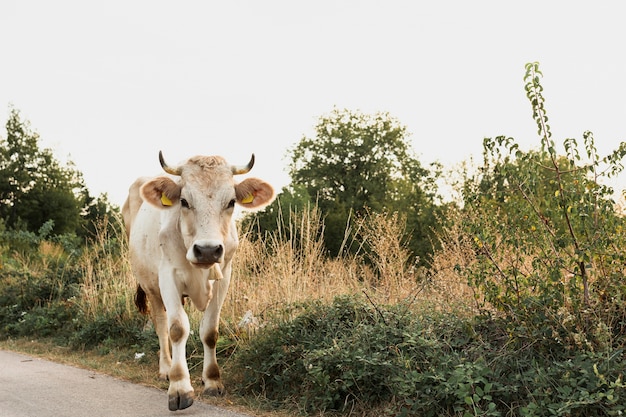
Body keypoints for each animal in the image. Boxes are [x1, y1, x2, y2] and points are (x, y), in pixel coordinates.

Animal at [123, 150, 274, 410]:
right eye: (184, 201)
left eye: (231, 202)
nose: (207, 250)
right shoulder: (168, 278)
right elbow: (177, 329)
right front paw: (180, 387)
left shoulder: (224, 276)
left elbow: (210, 331)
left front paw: (212, 380)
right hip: (151, 287)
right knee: (161, 324)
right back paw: (166, 368)